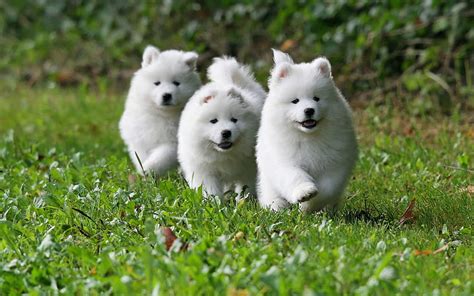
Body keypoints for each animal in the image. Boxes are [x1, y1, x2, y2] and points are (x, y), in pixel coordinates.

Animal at [119, 46, 201, 176]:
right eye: (157, 83)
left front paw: (147, 170)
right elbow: (141, 157)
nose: (167, 95)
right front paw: (144, 173)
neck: (162, 114)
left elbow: (160, 158)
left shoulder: (172, 144)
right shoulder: (140, 140)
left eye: (176, 83)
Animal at [178, 56, 266, 199]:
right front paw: (214, 202)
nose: (226, 132)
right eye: (213, 121)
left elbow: (246, 186)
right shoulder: (205, 170)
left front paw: (243, 200)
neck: (225, 154)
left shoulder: (249, 169)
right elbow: (210, 190)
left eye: (234, 120)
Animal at [258, 49, 358, 212]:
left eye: (316, 98)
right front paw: (305, 192)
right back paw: (276, 208)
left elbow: (328, 188)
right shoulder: (285, 160)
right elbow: (295, 176)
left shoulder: (335, 163)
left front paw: (308, 206)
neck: (307, 136)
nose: (309, 110)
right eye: (295, 101)